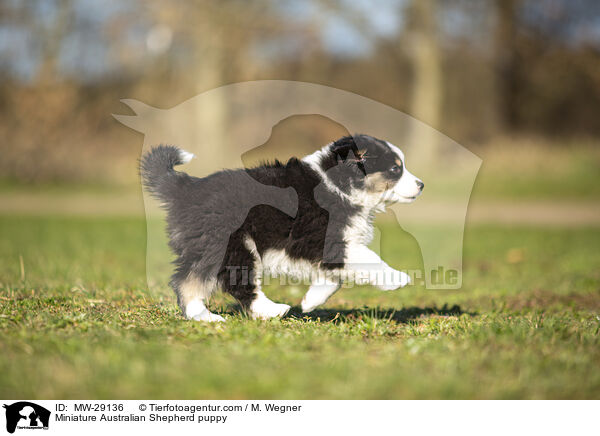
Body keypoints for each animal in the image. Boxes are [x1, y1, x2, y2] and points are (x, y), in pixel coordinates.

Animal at [140, 135, 422, 322]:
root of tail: (186, 189)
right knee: (235, 283)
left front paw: (310, 302)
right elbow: (368, 257)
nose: (421, 185)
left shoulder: (328, 247)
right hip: (231, 243)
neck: (337, 184)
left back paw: (203, 317)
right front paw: (396, 278)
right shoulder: (322, 238)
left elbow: (334, 278)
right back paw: (270, 310)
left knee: (187, 280)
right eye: (395, 168)